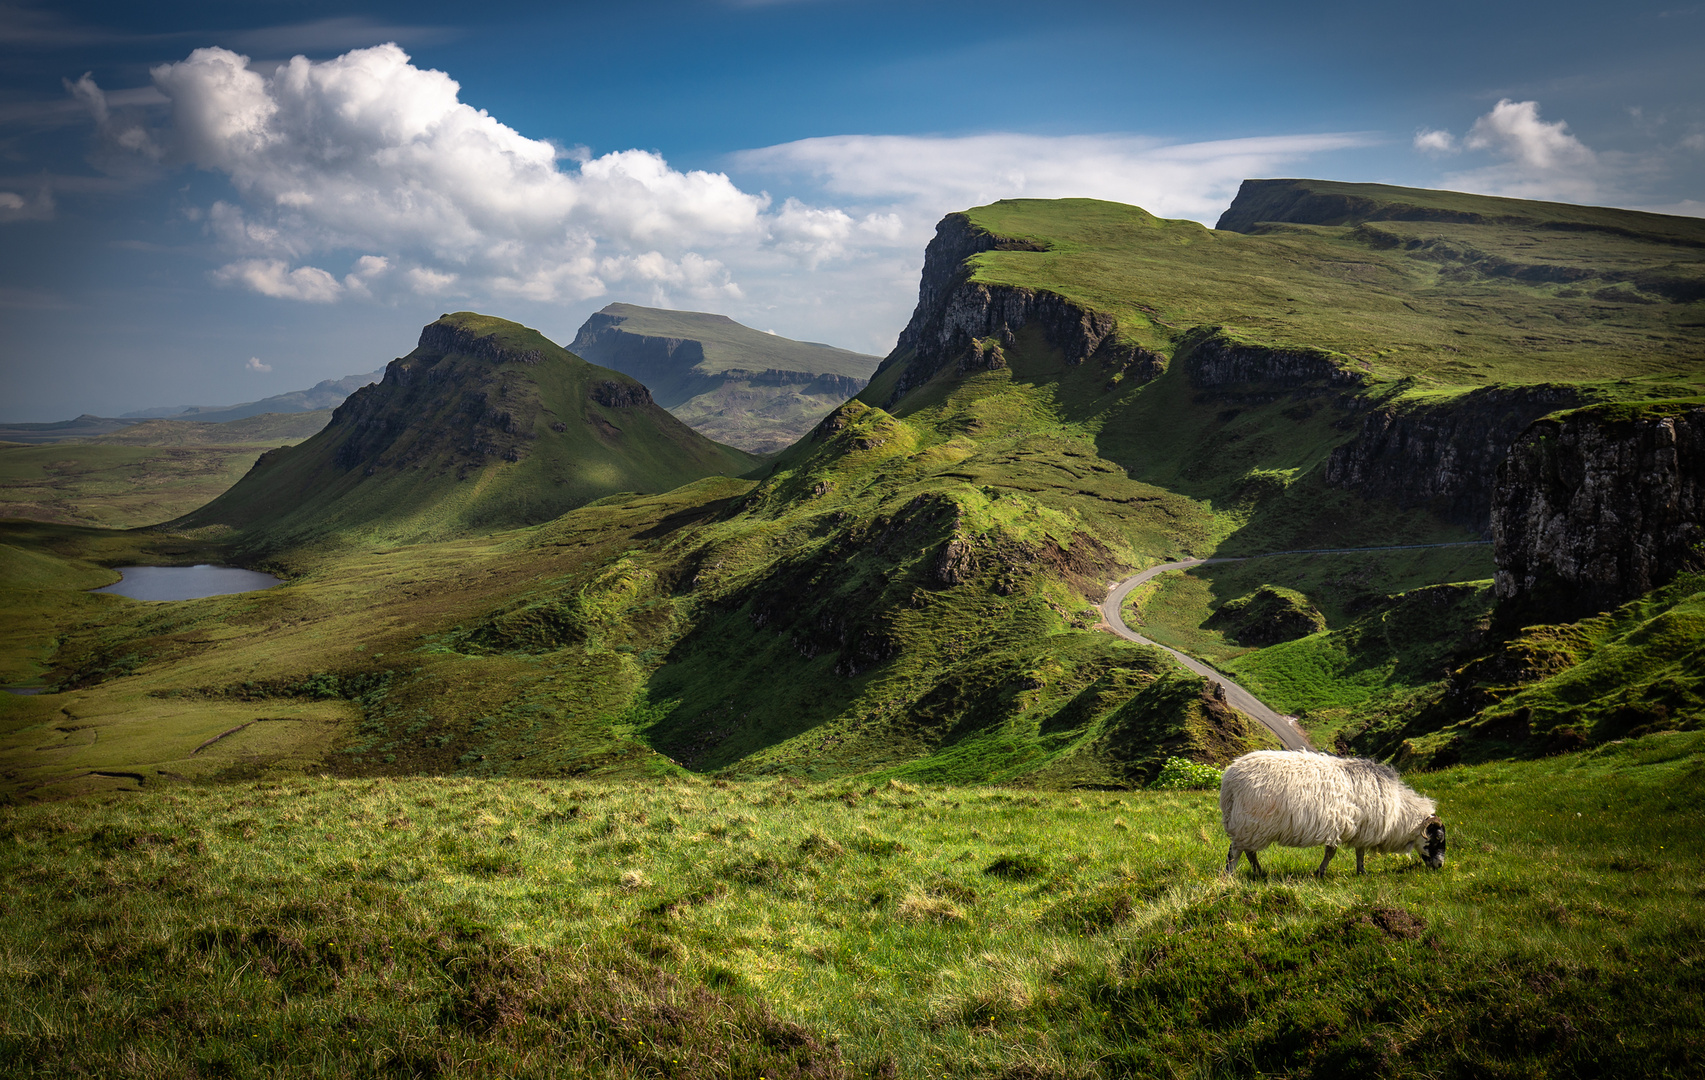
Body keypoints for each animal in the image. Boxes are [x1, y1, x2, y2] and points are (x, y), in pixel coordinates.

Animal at [1220, 750, 1445, 873]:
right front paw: (1321, 872)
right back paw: (1231, 875)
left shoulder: (1357, 828)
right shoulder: (1342, 826)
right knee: (1236, 852)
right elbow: (1332, 852)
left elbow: (1359, 852)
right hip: (1250, 823)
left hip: (1251, 827)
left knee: (1249, 852)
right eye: (1437, 838)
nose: (1440, 865)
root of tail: (1230, 779)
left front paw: (1361, 871)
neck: (1400, 814)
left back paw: (1259, 872)